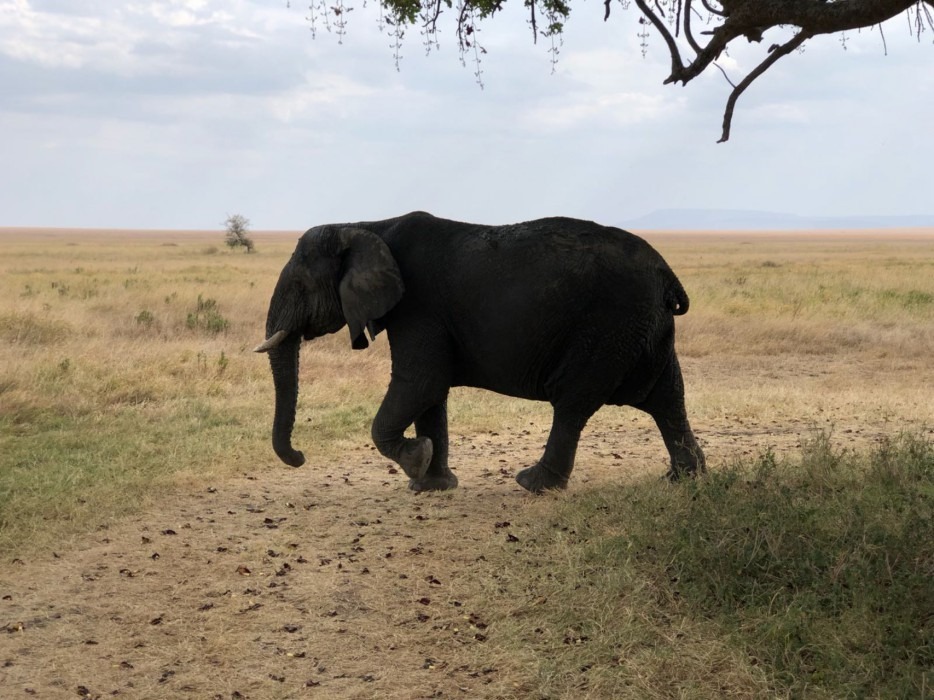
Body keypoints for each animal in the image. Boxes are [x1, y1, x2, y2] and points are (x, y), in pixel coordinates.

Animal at [252, 213, 704, 492]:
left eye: (300, 286)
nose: (300, 457)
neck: (365, 225)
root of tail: (667, 275)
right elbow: (430, 394)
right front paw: (430, 485)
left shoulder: (418, 306)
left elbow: (420, 381)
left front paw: (416, 459)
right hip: (641, 329)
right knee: (668, 397)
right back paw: (684, 479)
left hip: (607, 327)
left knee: (574, 402)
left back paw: (533, 484)